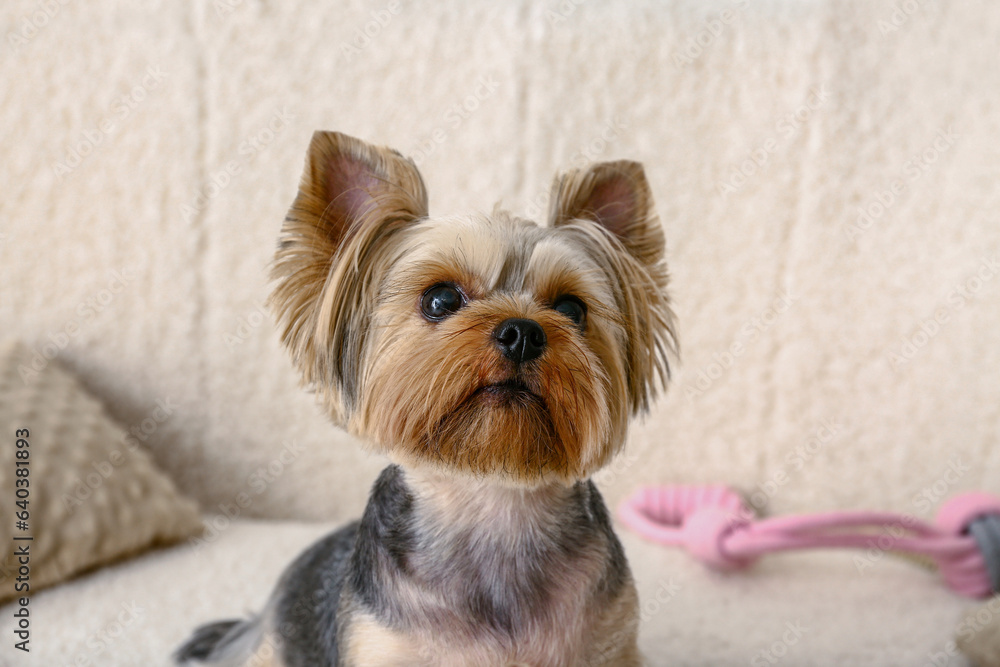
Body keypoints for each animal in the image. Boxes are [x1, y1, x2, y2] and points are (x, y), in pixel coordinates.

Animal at [176, 132, 676, 667]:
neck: (491, 501)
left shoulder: (611, 641)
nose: (522, 333)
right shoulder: (385, 645)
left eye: (572, 309)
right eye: (440, 299)